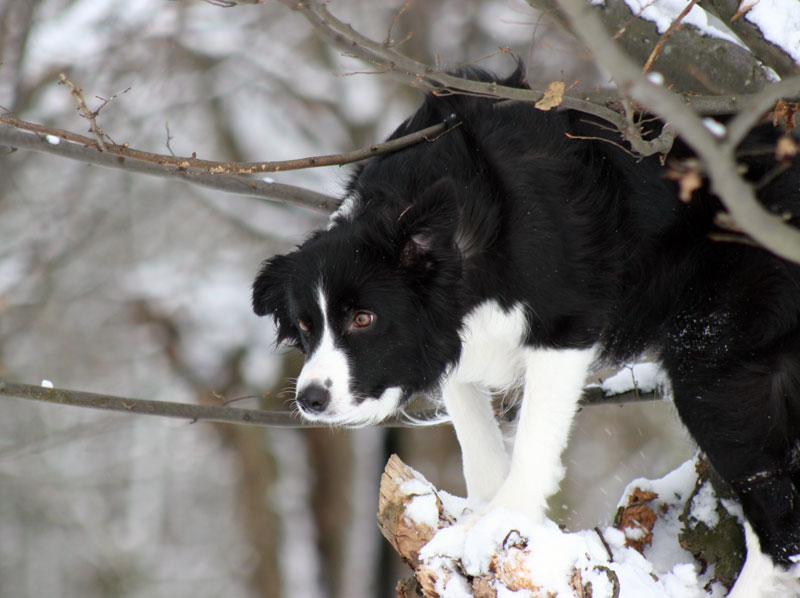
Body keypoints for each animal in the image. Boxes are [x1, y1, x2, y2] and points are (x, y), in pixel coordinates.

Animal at [253, 70, 800, 596]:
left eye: (363, 319)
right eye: (305, 324)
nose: (310, 399)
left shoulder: (565, 328)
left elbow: (534, 440)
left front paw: (501, 522)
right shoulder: (453, 338)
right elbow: (475, 435)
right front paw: (475, 521)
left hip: (711, 362)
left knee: (780, 529)